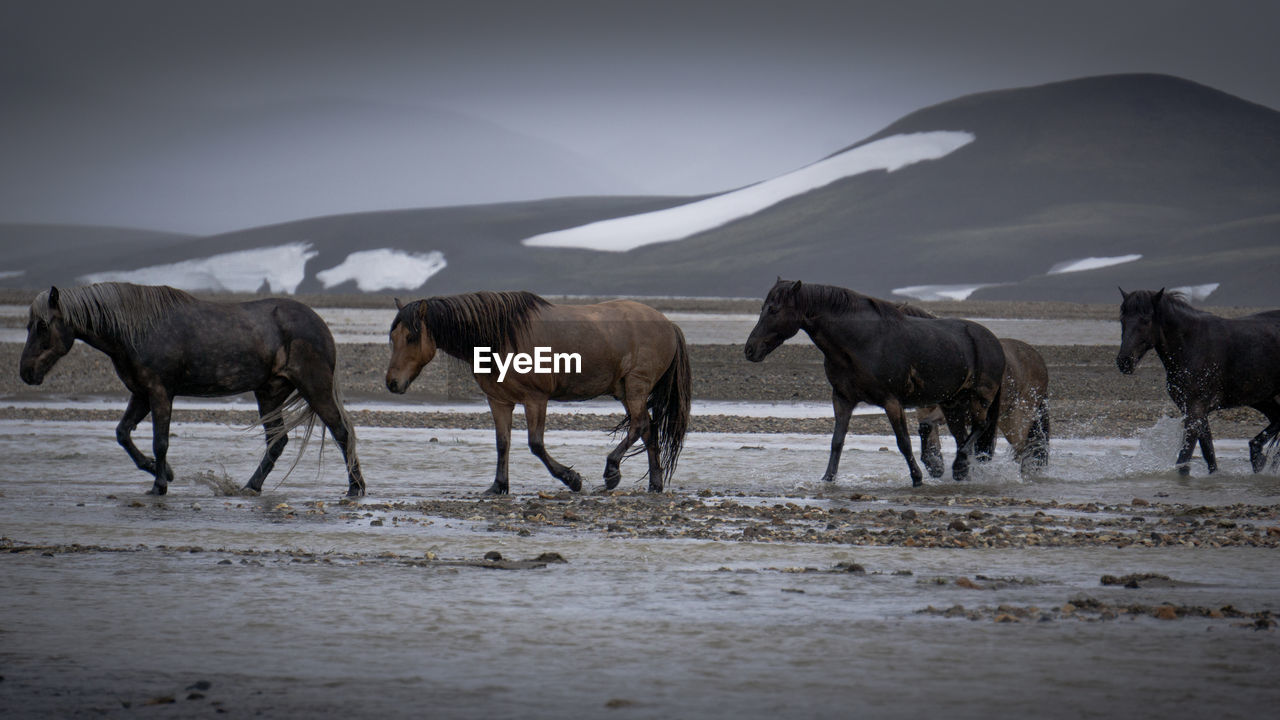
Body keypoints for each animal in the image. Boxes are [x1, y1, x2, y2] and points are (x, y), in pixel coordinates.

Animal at [18, 280, 366, 491]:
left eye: (43, 325)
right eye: (29, 325)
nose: (26, 372)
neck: (137, 329)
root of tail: (320, 324)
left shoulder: (160, 392)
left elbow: (160, 441)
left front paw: (160, 485)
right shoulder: (141, 394)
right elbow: (122, 433)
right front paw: (159, 471)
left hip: (314, 387)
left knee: (341, 432)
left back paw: (356, 488)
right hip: (269, 393)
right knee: (277, 442)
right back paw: (250, 487)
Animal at [384, 288, 691, 489]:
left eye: (411, 337)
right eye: (393, 337)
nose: (392, 383)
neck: (502, 337)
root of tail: (669, 324)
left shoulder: (535, 399)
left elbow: (536, 444)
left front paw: (572, 479)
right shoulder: (499, 401)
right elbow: (502, 443)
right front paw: (498, 486)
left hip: (636, 385)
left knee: (639, 425)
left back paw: (612, 471)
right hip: (625, 390)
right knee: (648, 430)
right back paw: (655, 484)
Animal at [747, 278, 1003, 484]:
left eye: (773, 309)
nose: (750, 350)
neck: (862, 341)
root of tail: (993, 341)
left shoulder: (892, 402)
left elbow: (903, 442)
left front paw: (917, 479)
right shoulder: (842, 399)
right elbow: (837, 441)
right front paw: (828, 479)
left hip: (979, 398)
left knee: (981, 426)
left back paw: (959, 467)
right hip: (953, 403)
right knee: (962, 438)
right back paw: (963, 472)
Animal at [1111, 288, 1280, 474]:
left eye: (1146, 320)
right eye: (1123, 320)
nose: (1124, 361)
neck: (1191, 346)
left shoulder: (1195, 412)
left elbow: (1184, 460)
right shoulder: (1197, 413)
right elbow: (1209, 455)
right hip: (1263, 399)